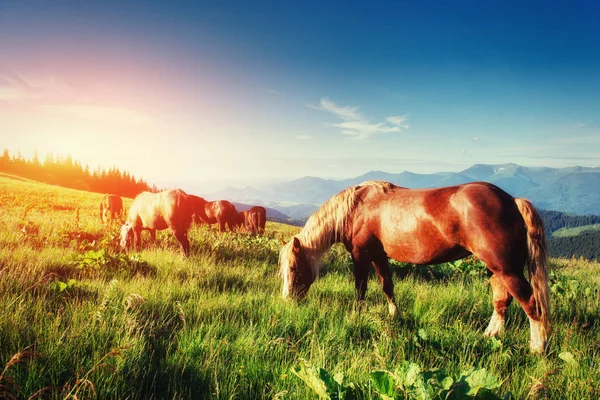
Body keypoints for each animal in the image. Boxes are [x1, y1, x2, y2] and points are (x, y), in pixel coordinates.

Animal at [278, 181, 552, 354]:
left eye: (293, 269)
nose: (287, 301)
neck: (356, 208)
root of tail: (513, 201)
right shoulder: (379, 256)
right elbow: (387, 286)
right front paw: (394, 315)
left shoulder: (360, 256)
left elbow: (360, 289)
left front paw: (356, 316)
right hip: (496, 269)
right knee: (502, 300)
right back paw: (490, 334)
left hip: (507, 269)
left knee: (530, 303)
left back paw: (537, 347)